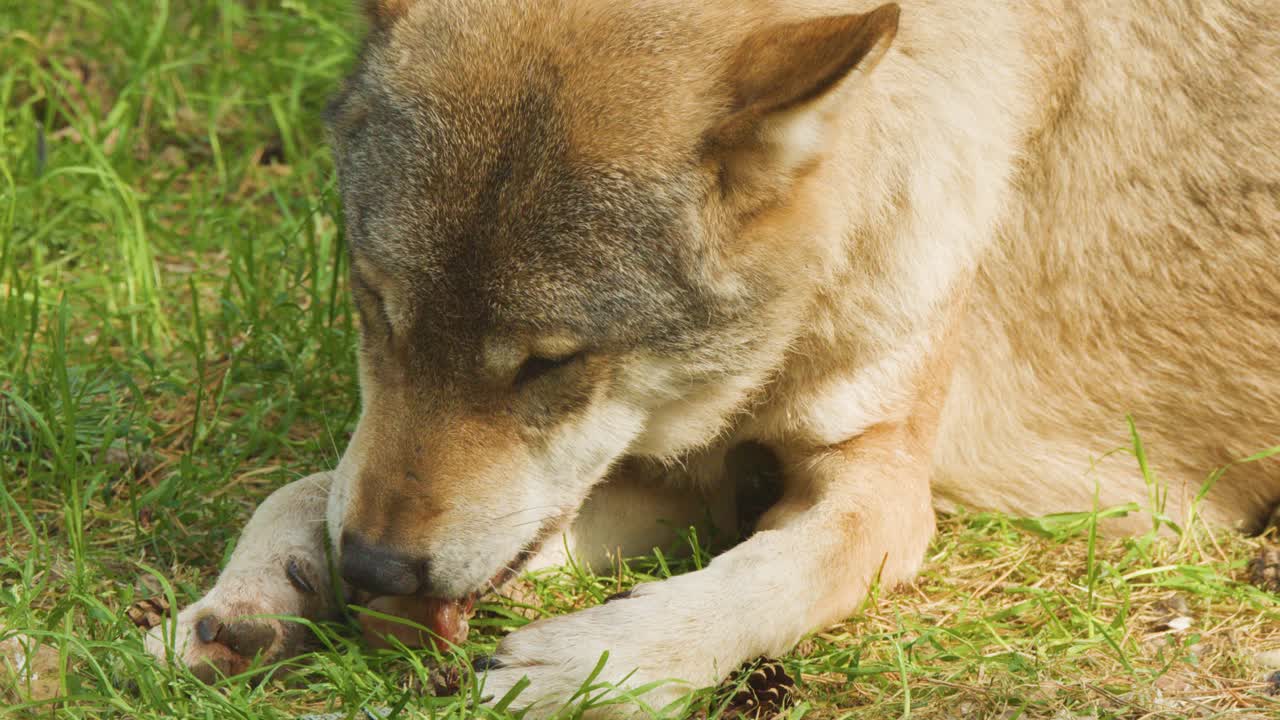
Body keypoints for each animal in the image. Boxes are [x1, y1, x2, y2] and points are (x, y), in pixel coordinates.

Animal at [147, 0, 1280, 715]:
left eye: (549, 363)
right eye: (377, 305)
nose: (377, 566)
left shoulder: (880, 485)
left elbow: (772, 576)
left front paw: (595, 663)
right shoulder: (682, 479)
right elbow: (302, 488)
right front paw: (247, 602)